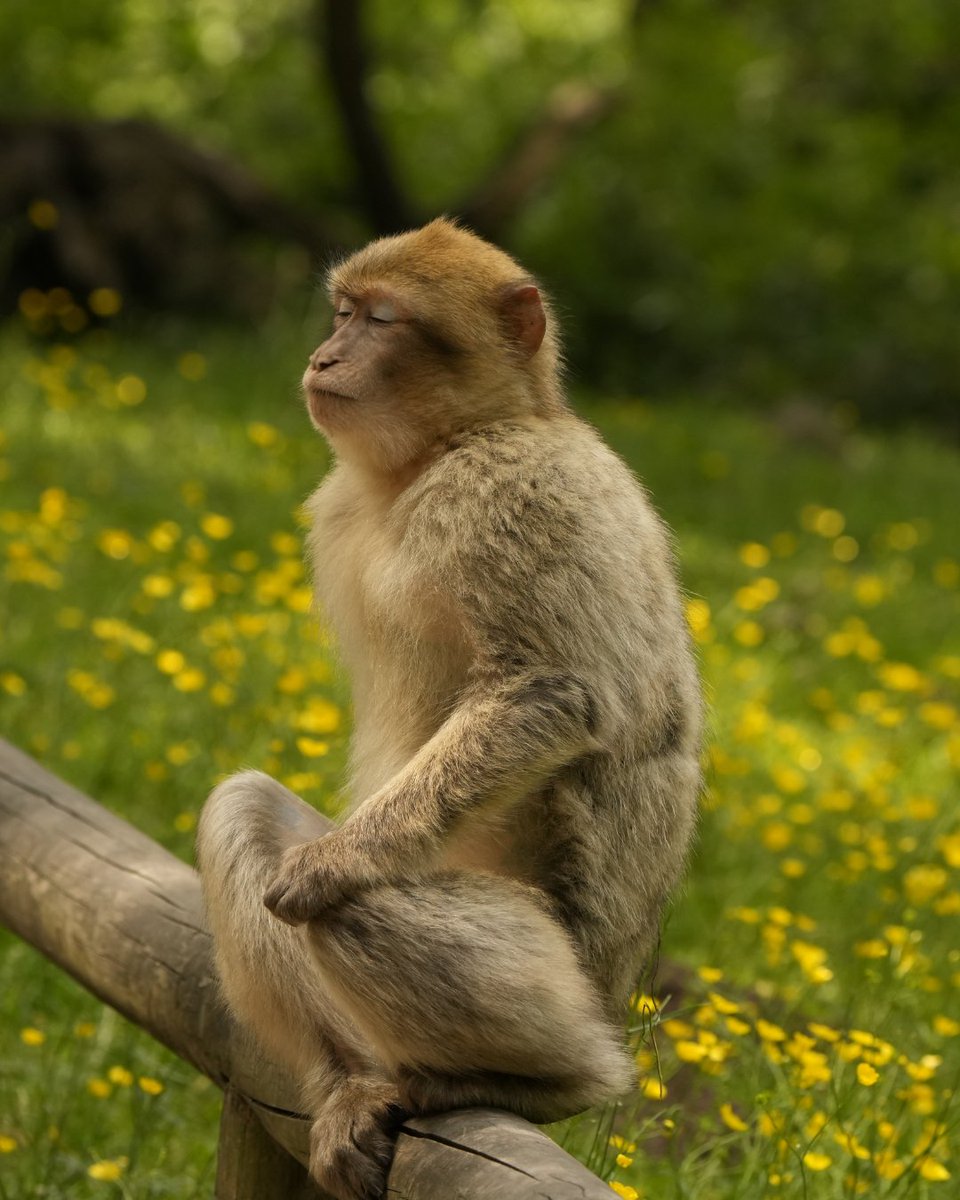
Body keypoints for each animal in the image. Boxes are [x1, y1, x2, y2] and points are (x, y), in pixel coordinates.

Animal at [197, 218, 701, 1200]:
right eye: (342, 312)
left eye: (381, 321)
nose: (323, 356)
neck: (450, 447)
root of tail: (615, 994)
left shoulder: (510, 494)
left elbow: (549, 690)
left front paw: (336, 861)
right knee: (244, 809)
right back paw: (350, 1081)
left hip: (564, 979)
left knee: (347, 903)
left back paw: (550, 1080)